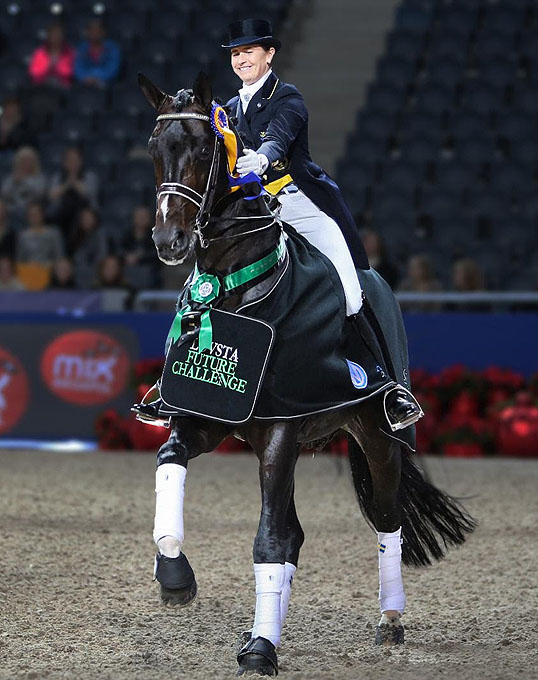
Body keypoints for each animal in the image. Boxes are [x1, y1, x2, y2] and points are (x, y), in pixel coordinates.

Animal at [136, 71, 476, 677]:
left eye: (202, 149)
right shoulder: (209, 415)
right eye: (155, 149)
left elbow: (270, 540)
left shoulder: (280, 430)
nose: (169, 242)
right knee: (297, 530)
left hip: (377, 436)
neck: (237, 290)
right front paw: (175, 577)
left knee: (385, 518)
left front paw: (259, 650)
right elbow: (170, 463)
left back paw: (390, 619)